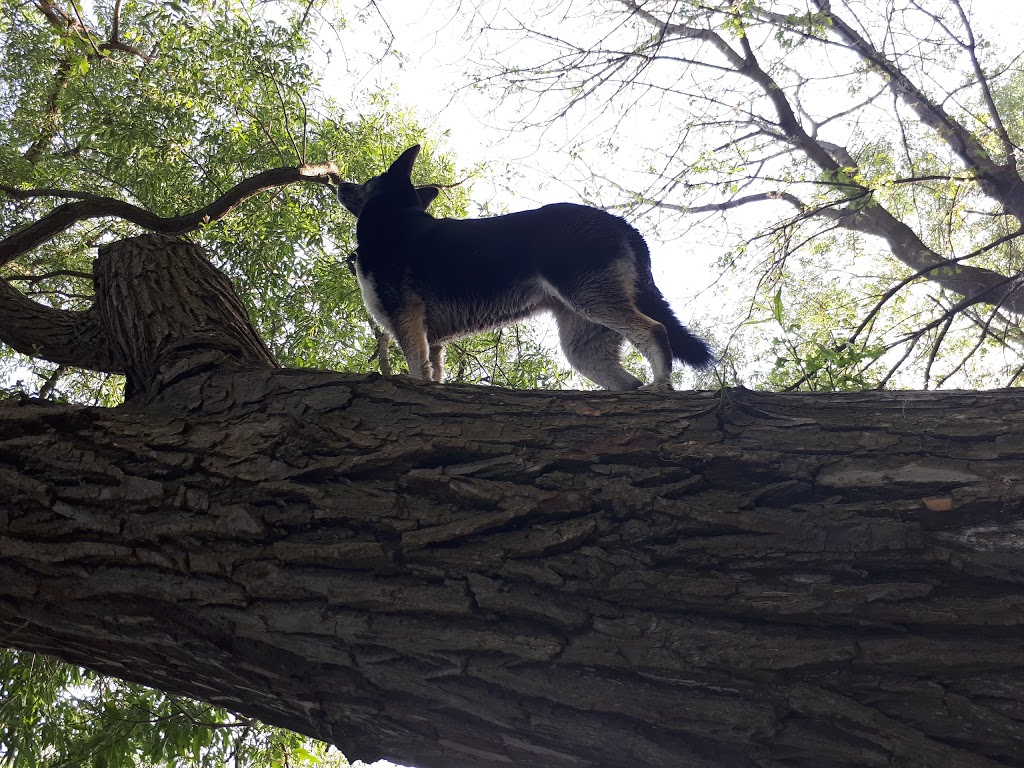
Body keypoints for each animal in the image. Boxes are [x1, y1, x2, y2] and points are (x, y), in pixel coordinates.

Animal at [335, 145, 712, 391]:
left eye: (367, 182)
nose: (340, 183)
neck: (395, 218)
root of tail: (623, 224)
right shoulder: (432, 337)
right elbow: (433, 374)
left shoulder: (406, 318)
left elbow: (418, 370)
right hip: (584, 340)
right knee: (627, 377)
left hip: (590, 298)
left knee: (655, 330)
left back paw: (661, 384)